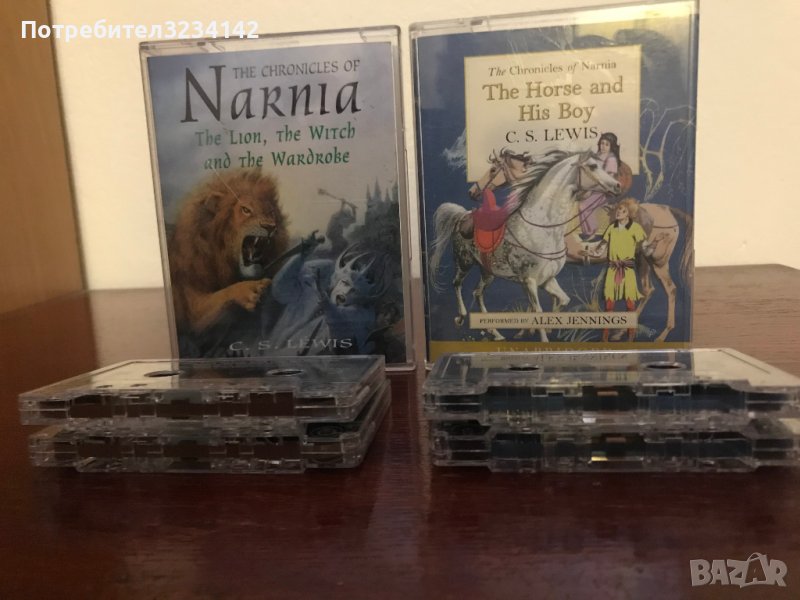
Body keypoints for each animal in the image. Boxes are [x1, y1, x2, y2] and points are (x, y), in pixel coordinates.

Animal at [429, 150, 621, 342]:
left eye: (493, 170)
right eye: (593, 166)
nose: (617, 186)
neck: (543, 227)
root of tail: (462, 215)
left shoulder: (547, 279)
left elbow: (562, 301)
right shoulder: (529, 281)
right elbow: (538, 311)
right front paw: (536, 333)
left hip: (487, 272)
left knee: (477, 292)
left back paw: (495, 333)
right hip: (464, 262)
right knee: (456, 283)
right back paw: (461, 318)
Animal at [469, 149, 694, 342]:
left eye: (492, 170)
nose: (472, 192)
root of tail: (667, 209)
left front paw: (533, 329)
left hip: (658, 261)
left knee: (670, 290)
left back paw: (662, 334)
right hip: (642, 260)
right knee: (649, 290)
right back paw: (622, 331)